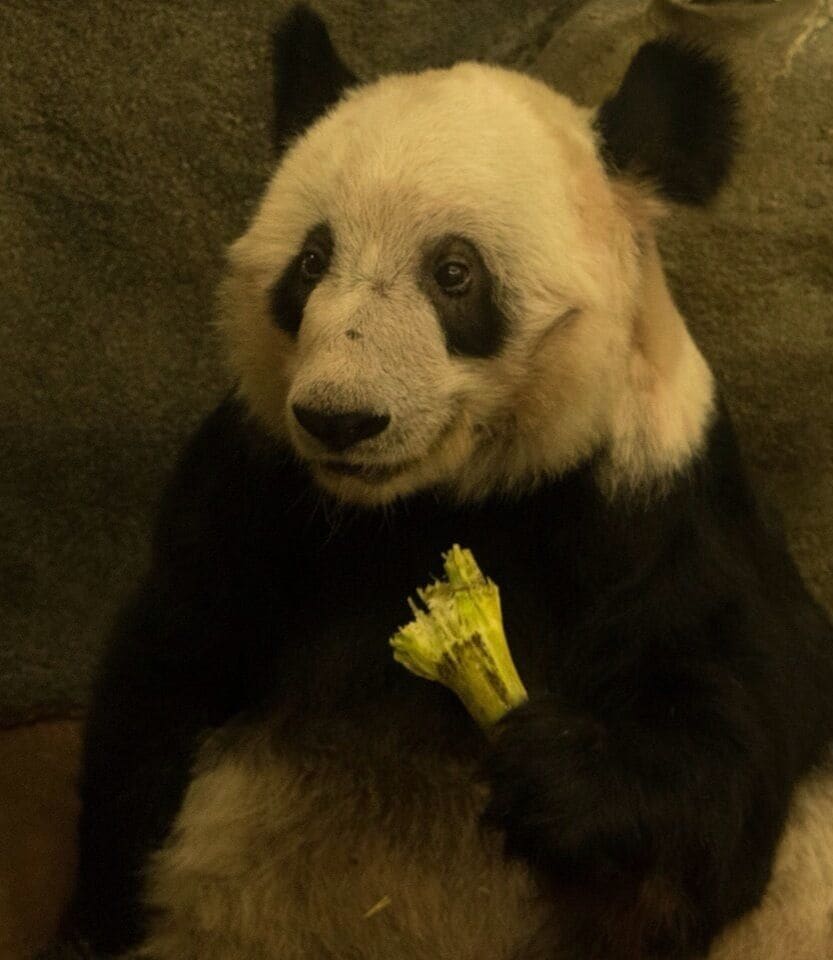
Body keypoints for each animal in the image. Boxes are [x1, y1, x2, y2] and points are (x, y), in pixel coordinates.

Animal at [70, 6, 833, 960]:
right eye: (311, 262)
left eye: (453, 272)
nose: (340, 419)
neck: (424, 502)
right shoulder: (256, 482)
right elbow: (169, 667)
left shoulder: (655, 501)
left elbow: (735, 705)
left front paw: (556, 773)